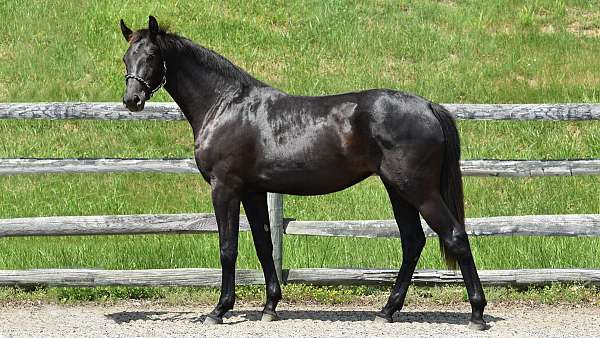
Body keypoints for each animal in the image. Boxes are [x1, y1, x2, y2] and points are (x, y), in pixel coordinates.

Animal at [118, 16, 488, 330]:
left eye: (151, 55)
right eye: (126, 58)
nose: (132, 100)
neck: (226, 106)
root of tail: (428, 106)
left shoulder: (225, 188)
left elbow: (228, 248)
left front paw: (220, 309)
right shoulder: (253, 190)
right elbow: (263, 245)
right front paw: (269, 307)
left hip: (417, 189)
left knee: (455, 236)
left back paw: (477, 313)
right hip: (398, 189)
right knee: (412, 241)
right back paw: (387, 310)